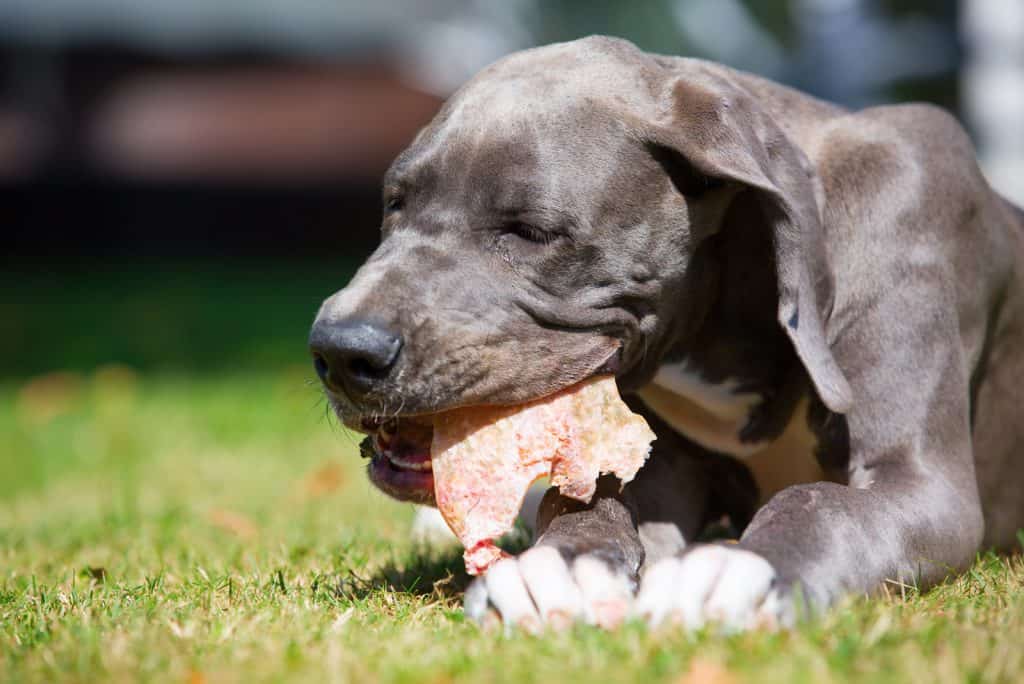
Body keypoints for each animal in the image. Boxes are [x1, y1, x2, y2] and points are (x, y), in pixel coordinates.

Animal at [309, 36, 1024, 630]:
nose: (340, 351)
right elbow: (586, 506)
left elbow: (822, 505)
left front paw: (739, 570)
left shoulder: (921, 483)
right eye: (394, 204)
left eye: (530, 231)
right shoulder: (663, 470)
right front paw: (558, 568)